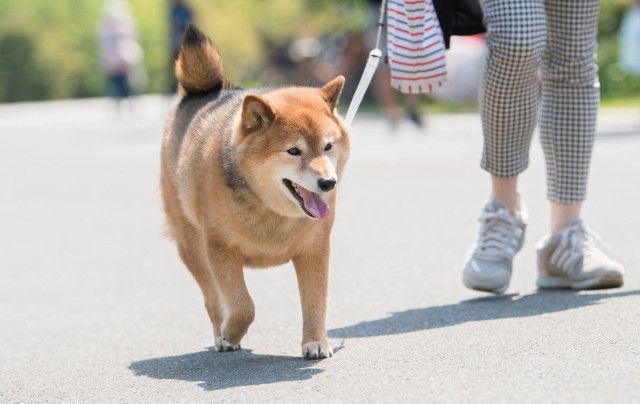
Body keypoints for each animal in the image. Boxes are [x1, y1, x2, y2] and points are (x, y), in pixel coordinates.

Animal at [160, 26, 350, 360]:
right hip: (192, 247)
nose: (329, 183)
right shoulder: (220, 249)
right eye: (293, 151)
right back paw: (220, 334)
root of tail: (206, 93)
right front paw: (230, 333)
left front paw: (315, 341)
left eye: (328, 146)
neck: (269, 208)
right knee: (212, 299)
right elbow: (243, 307)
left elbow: (315, 301)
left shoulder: (315, 249)